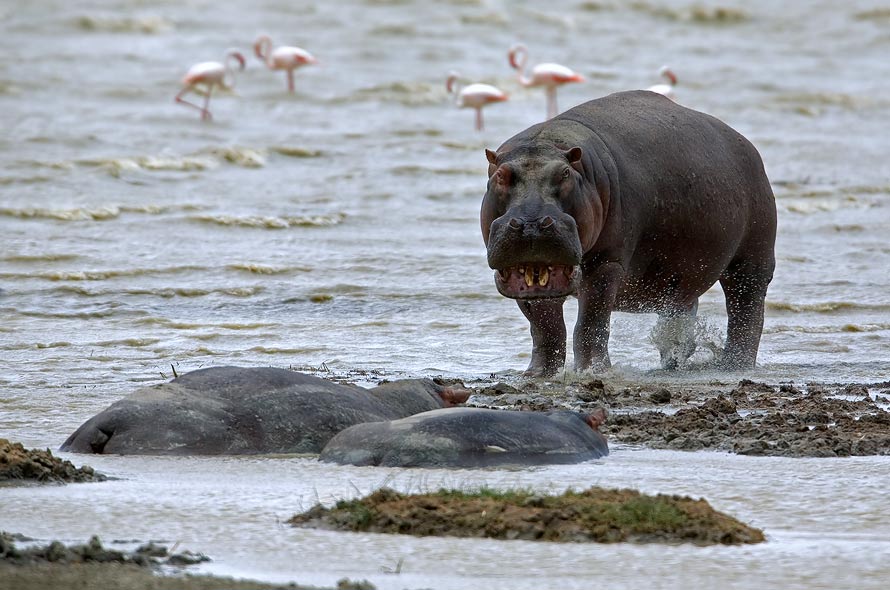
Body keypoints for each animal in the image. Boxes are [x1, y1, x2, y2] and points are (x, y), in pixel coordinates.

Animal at [482, 90, 772, 376]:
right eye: (500, 175)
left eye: (564, 174)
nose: (531, 223)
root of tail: (748, 146)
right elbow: (545, 328)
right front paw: (538, 375)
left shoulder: (606, 262)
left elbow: (590, 323)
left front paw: (593, 371)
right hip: (680, 277)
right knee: (680, 316)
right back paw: (676, 364)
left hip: (752, 261)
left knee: (746, 310)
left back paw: (733, 365)